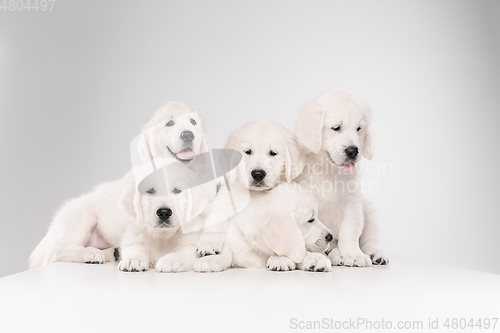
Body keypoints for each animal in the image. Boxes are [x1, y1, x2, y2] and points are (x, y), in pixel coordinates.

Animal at [294, 90, 388, 268]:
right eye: (336, 128)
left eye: (358, 128)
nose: (353, 151)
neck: (329, 171)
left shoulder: (352, 202)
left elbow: (350, 231)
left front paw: (354, 255)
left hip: (368, 211)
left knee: (370, 239)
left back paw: (375, 254)